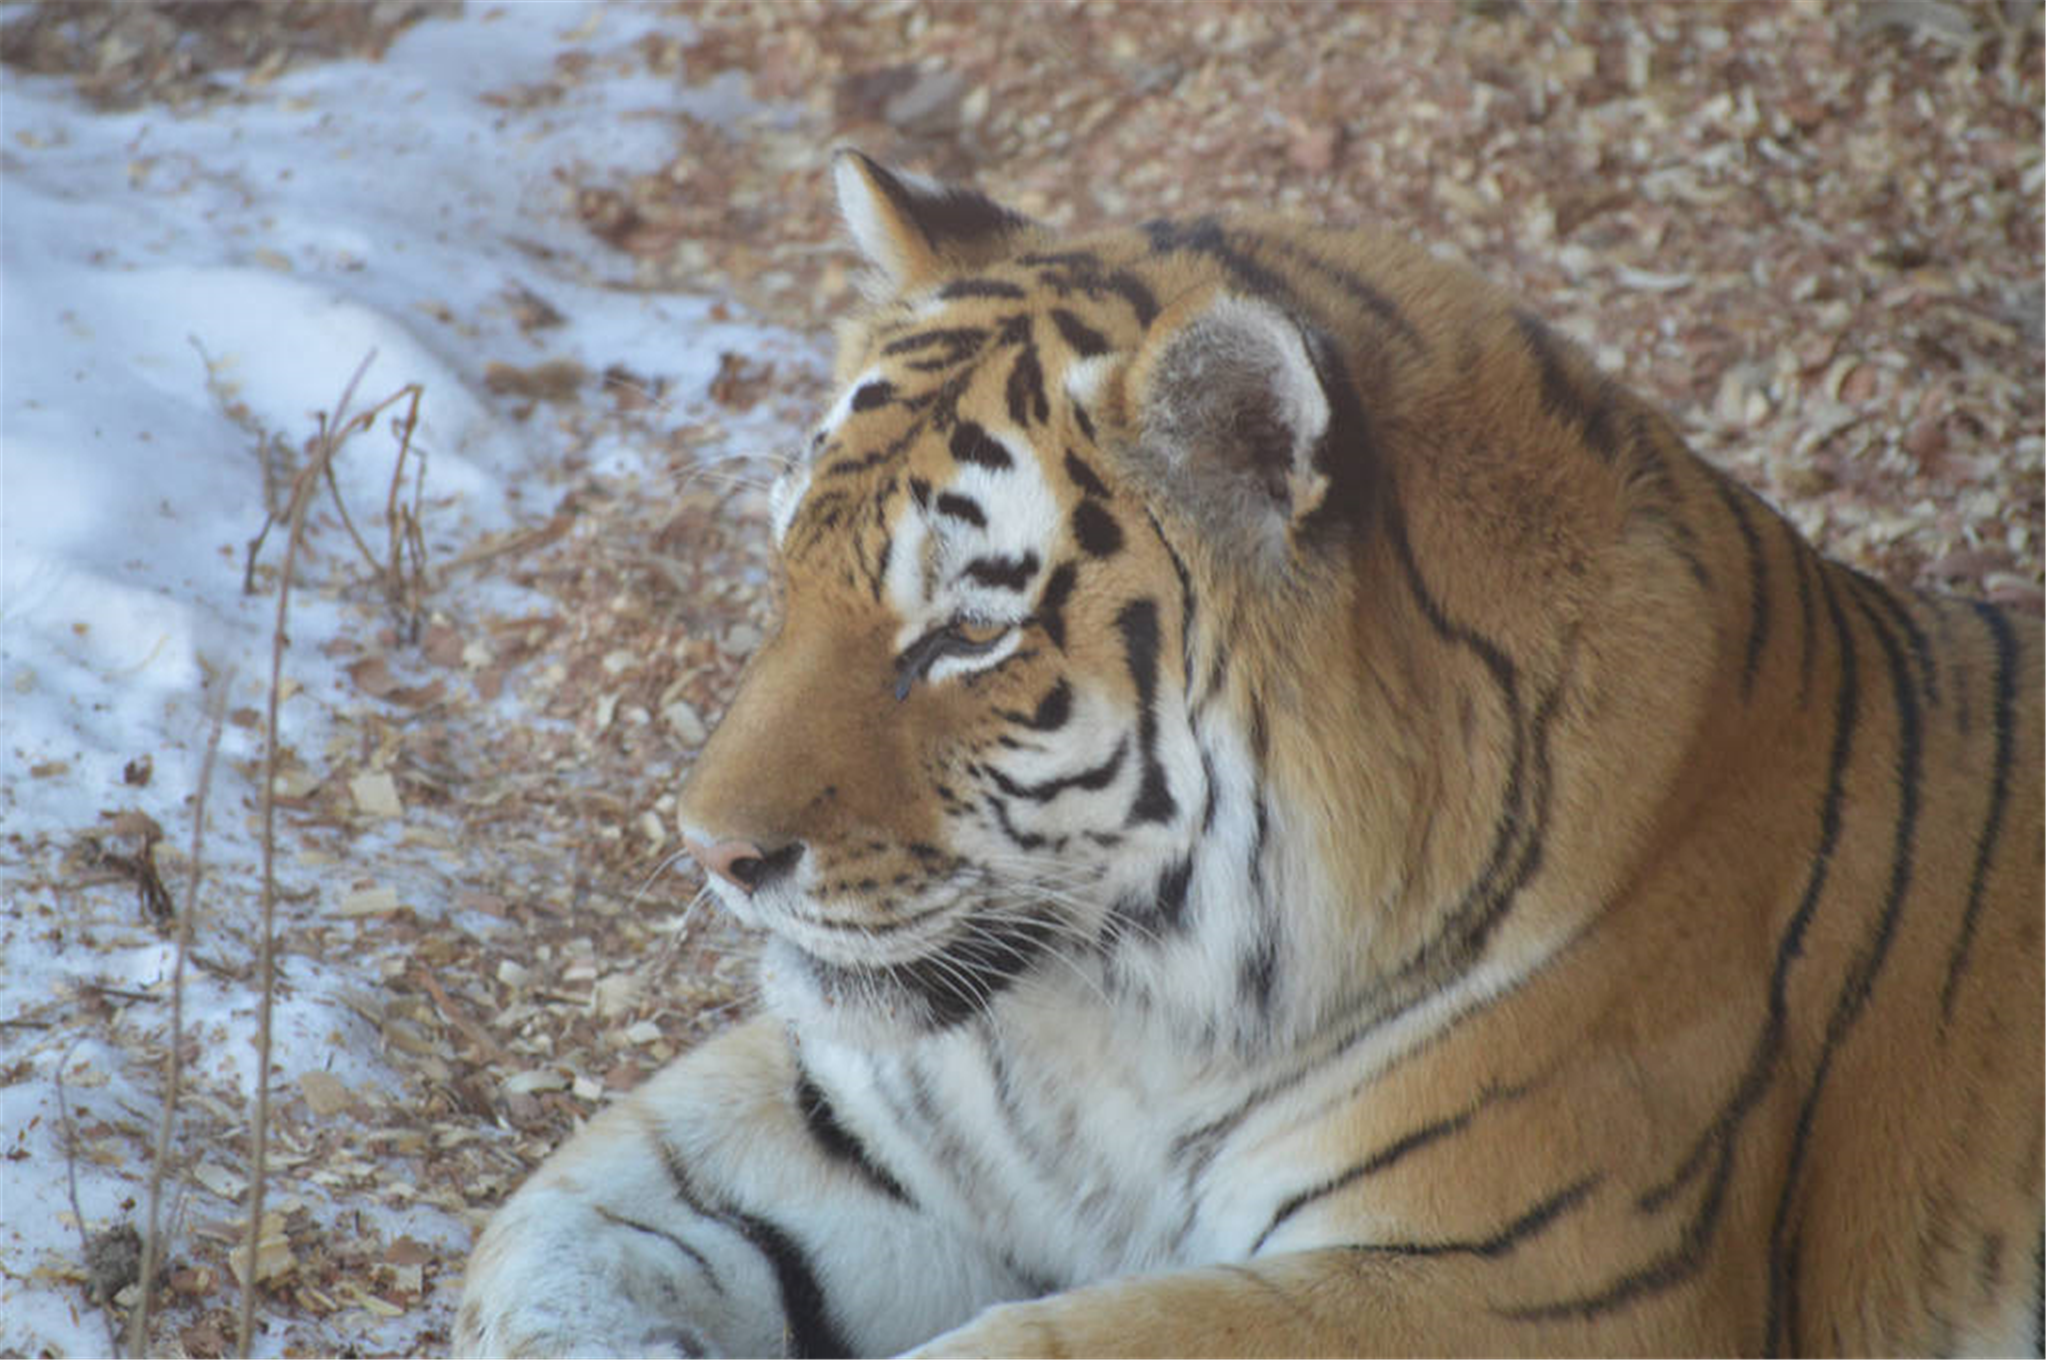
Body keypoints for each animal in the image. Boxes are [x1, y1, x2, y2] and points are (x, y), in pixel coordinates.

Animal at [464, 153, 2046, 1349]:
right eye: (783, 570)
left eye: (967, 634)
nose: (712, 853)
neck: (1129, 1019)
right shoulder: (867, 1124)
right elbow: (537, 1239)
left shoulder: (1509, 1278)